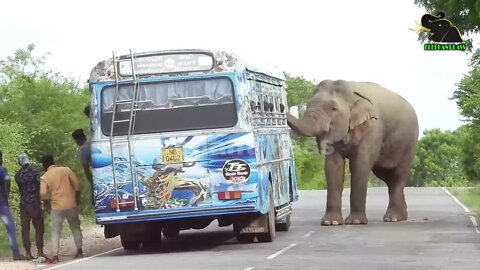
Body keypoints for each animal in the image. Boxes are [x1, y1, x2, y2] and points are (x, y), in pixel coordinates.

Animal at [286, 79, 418, 226]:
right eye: (308, 105)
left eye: (333, 108)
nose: (281, 106)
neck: (352, 92)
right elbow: (333, 166)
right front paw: (331, 223)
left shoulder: (372, 128)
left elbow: (360, 164)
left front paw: (355, 222)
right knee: (387, 177)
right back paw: (400, 217)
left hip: (410, 143)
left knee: (398, 176)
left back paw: (392, 218)